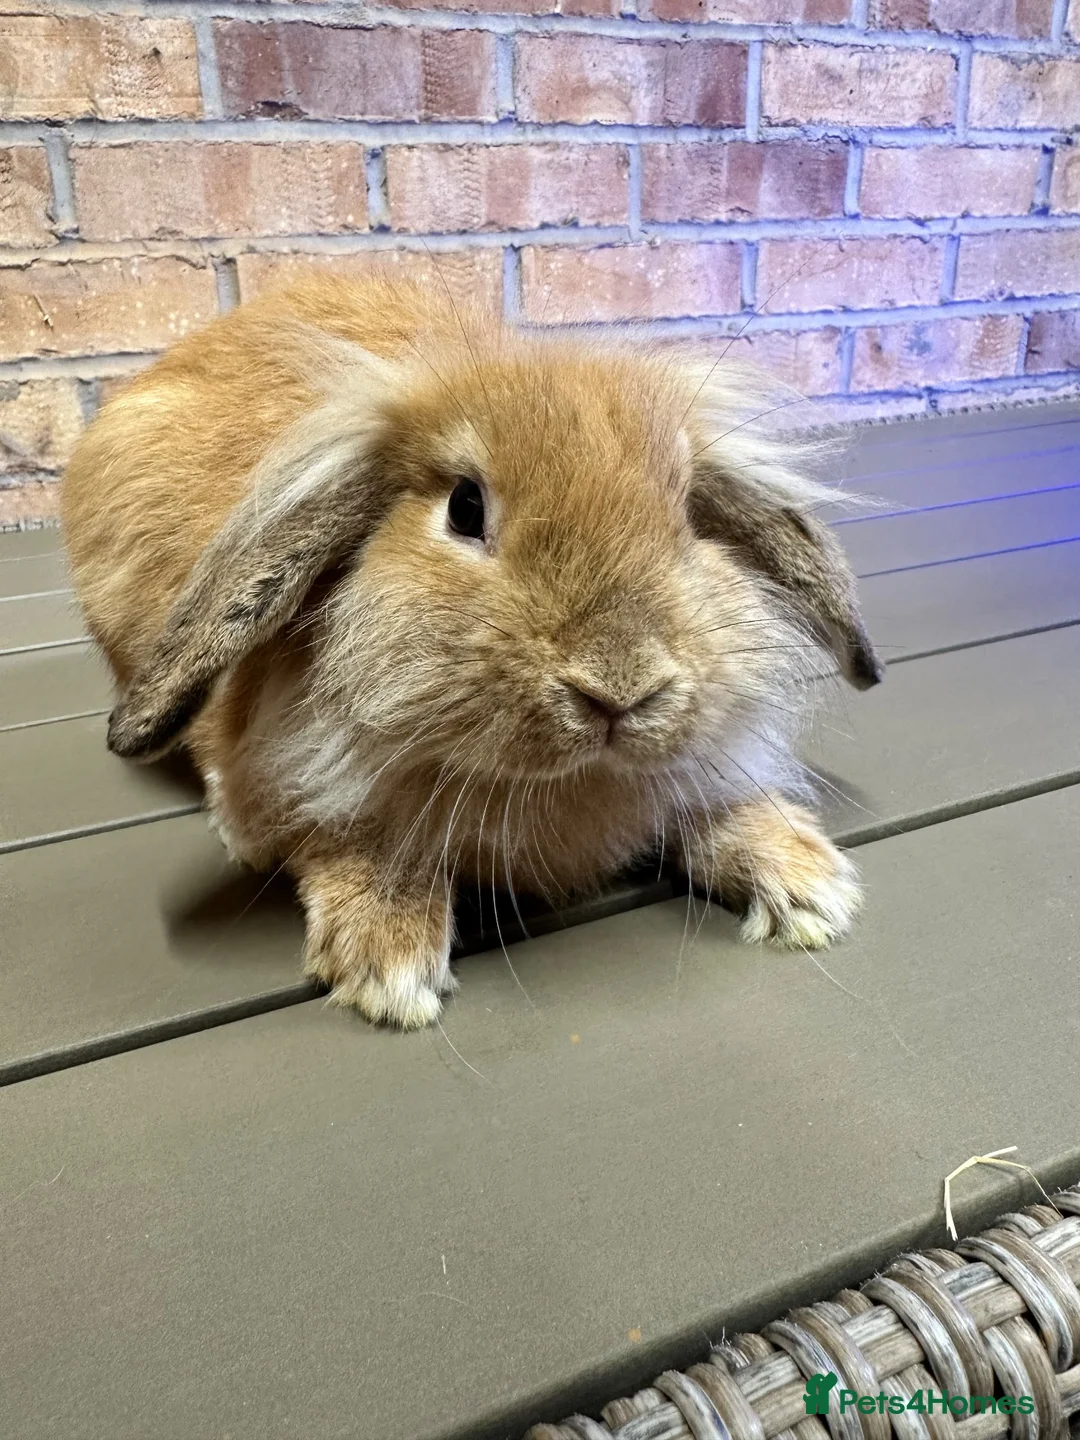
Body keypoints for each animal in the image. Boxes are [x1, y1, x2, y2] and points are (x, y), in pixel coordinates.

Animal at [62, 273, 882, 1030]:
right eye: (464, 506)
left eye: (688, 513)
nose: (619, 687)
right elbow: (336, 829)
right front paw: (388, 959)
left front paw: (808, 881)